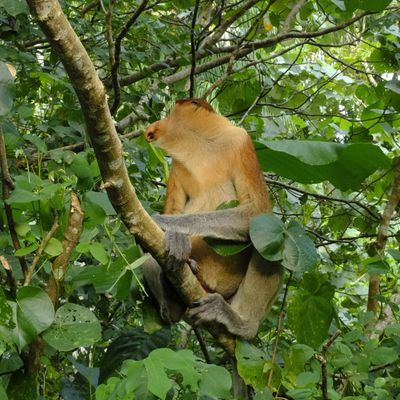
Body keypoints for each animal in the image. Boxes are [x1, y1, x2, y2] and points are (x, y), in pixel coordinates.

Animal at [142, 98, 282, 340]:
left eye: (169, 114)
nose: (153, 126)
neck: (201, 144)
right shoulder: (178, 166)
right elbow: (174, 208)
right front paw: (175, 237)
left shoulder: (240, 143)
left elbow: (257, 213)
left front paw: (168, 226)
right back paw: (172, 300)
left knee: (269, 244)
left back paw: (241, 323)